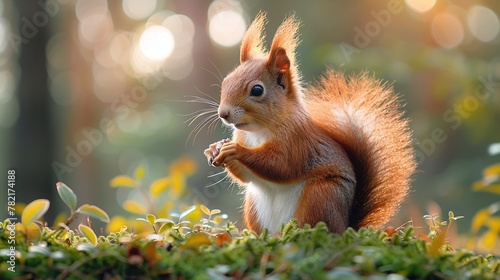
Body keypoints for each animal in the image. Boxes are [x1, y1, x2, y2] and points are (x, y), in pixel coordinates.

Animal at [205, 12, 416, 233]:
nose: (223, 113)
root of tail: (346, 225)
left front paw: (235, 150)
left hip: (321, 196)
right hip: (254, 207)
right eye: (226, 82)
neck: (258, 131)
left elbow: (280, 165)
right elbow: (245, 176)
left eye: (257, 90)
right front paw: (214, 149)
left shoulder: (297, 138)